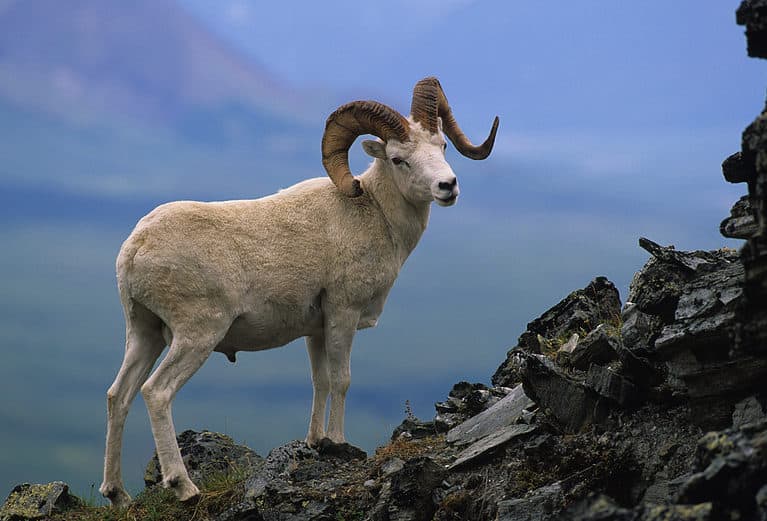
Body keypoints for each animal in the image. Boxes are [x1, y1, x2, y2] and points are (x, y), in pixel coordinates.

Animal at [99, 77, 499, 507]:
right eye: (398, 159)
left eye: (441, 146)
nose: (447, 186)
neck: (374, 214)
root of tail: (135, 248)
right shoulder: (343, 314)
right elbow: (341, 379)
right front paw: (338, 442)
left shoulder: (315, 330)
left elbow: (320, 381)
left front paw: (315, 441)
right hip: (196, 336)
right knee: (156, 393)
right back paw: (184, 487)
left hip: (145, 333)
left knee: (118, 395)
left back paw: (118, 495)